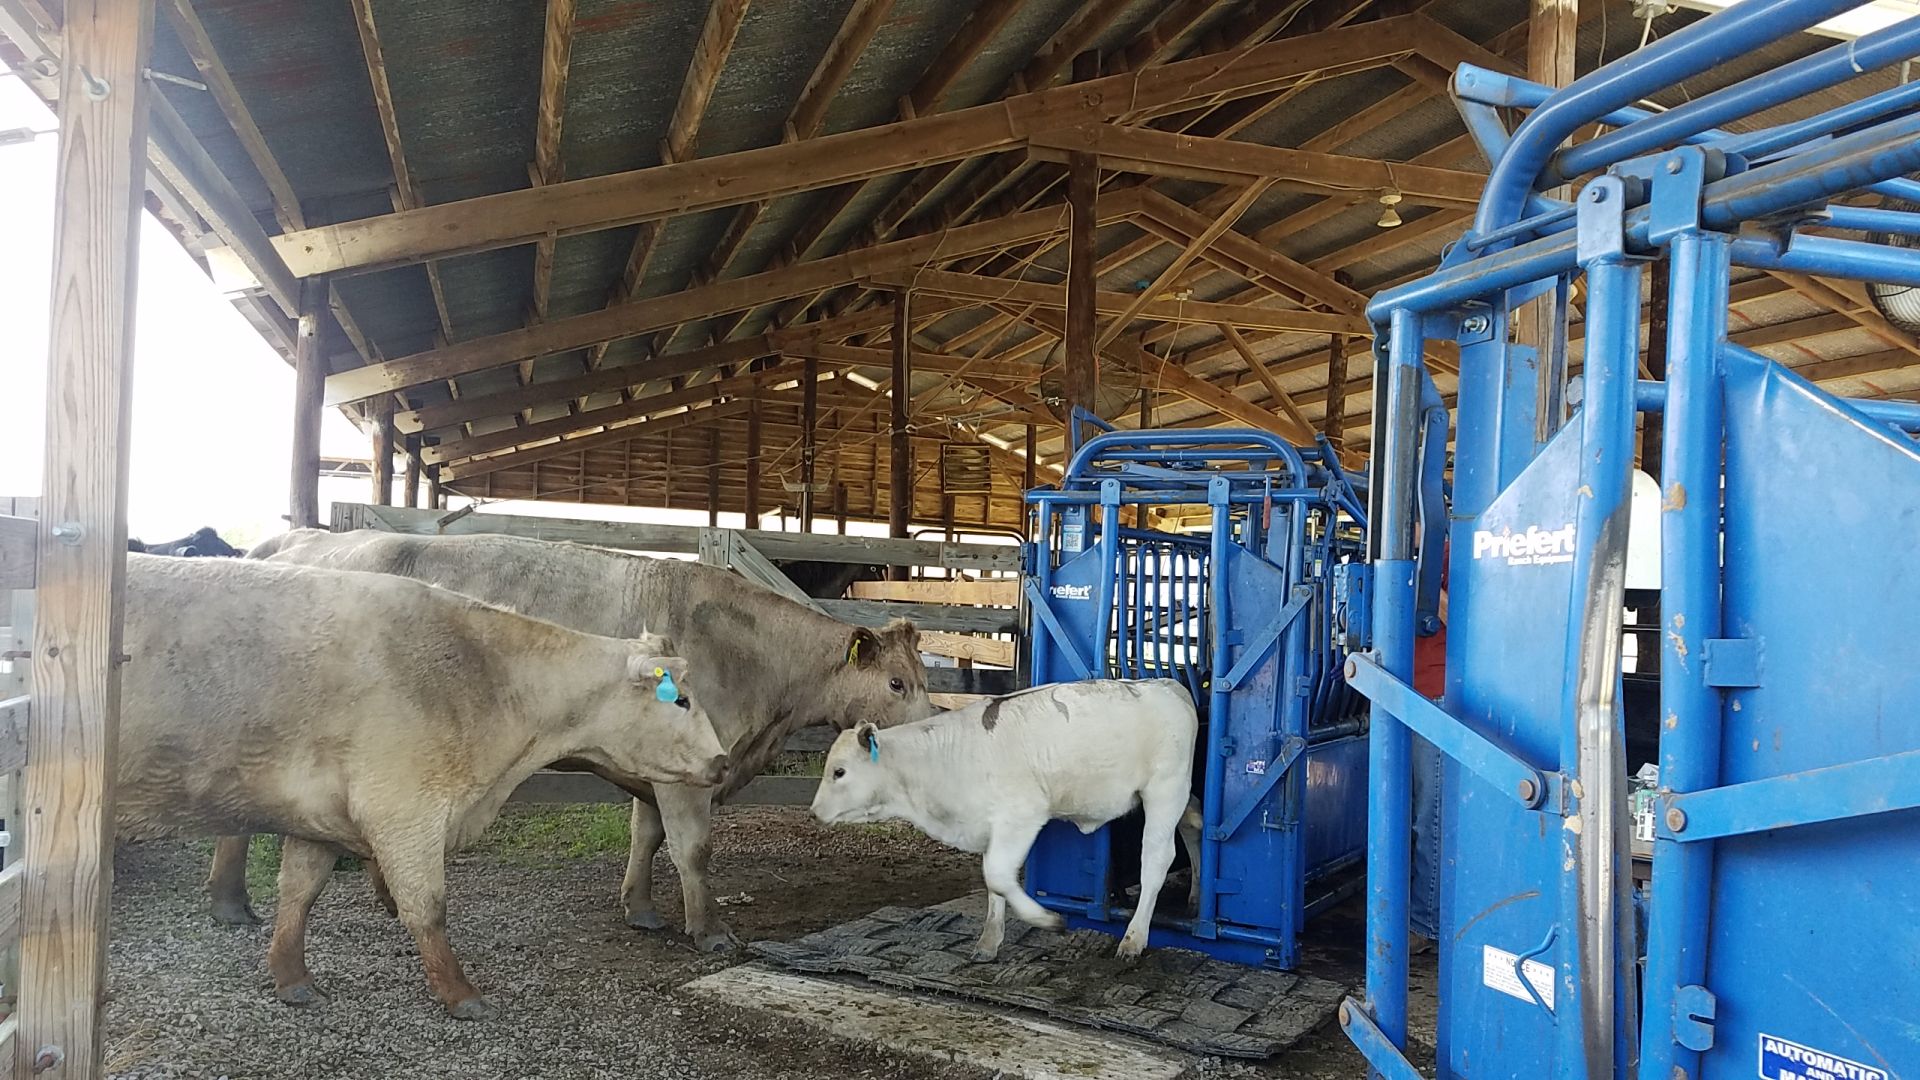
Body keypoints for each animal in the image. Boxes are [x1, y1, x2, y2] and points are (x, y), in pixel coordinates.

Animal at [120, 549, 729, 1014]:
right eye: (683, 700)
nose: (723, 761)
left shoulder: (321, 817)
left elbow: (299, 892)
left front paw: (293, 980)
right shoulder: (404, 812)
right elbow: (427, 906)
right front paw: (460, 992)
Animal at [228, 526, 933, 945]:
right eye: (896, 683)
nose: (932, 731)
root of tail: (296, 539)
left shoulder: (659, 768)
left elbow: (647, 838)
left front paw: (641, 909)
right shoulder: (689, 776)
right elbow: (693, 850)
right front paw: (708, 932)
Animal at [814, 676, 1198, 953]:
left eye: (839, 771)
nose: (815, 811)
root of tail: (1167, 685)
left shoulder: (1020, 817)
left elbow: (998, 875)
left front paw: (1047, 920)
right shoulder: (988, 825)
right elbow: (991, 882)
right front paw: (989, 940)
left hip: (1164, 790)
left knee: (1157, 858)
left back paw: (1134, 938)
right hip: (1179, 794)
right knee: (1194, 825)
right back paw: (1193, 899)